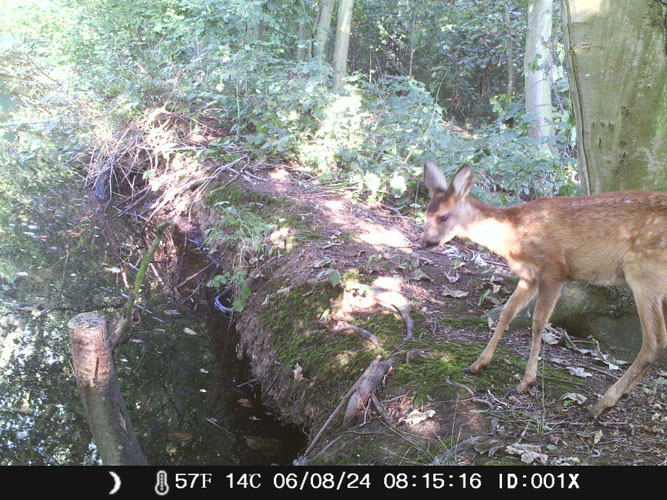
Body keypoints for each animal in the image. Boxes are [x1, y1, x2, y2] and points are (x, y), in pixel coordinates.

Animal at [420, 161, 666, 417]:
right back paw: (623, 393)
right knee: (660, 342)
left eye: (444, 216)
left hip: (644, 271)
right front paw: (478, 363)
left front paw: (525, 382)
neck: (514, 236)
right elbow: (507, 312)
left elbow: (538, 322)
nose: (425, 242)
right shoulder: (529, 276)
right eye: (426, 214)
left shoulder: (554, 268)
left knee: (654, 342)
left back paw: (603, 402)